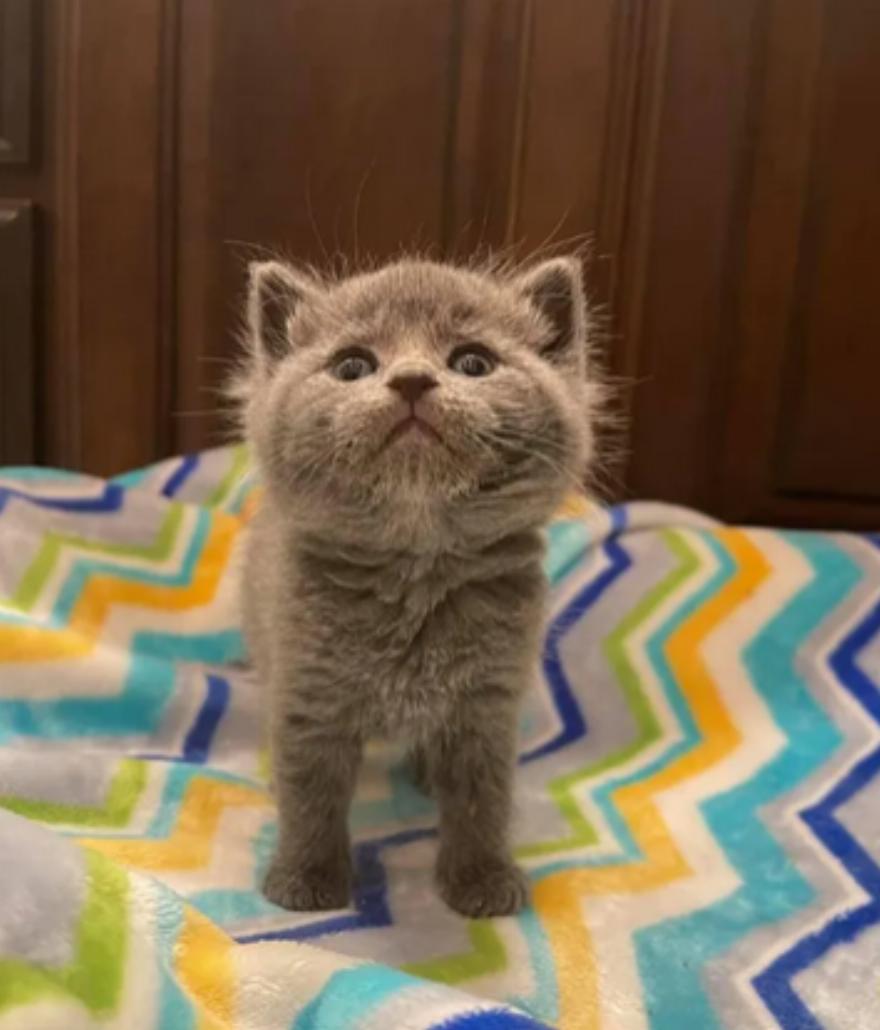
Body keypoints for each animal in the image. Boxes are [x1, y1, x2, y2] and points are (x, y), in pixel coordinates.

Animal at [233, 255, 599, 917]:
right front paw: (306, 880)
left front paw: (481, 880)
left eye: (473, 362)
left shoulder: (487, 705)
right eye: (352, 366)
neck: (416, 570)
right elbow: (310, 793)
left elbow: (482, 801)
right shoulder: (307, 691)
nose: (409, 381)